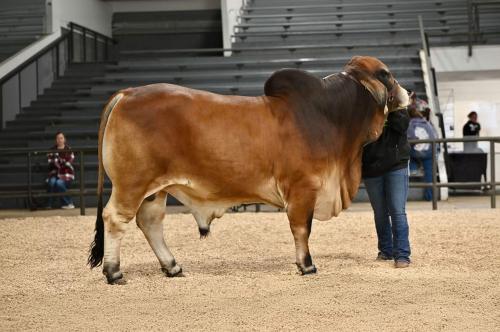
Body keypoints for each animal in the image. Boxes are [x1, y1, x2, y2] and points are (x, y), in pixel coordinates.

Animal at [89, 55, 410, 284]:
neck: (331, 116)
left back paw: (172, 267)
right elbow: (302, 228)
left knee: (150, 221)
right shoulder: (303, 188)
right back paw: (114, 272)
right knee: (115, 218)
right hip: (132, 184)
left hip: (156, 189)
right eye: (386, 74)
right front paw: (306, 265)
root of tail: (127, 93)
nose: (409, 92)